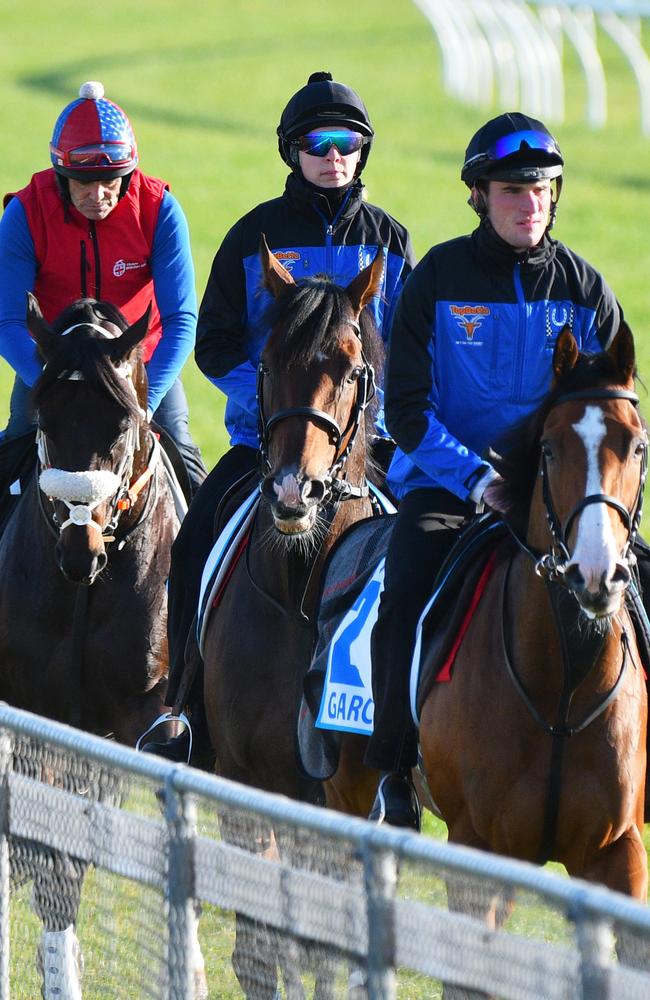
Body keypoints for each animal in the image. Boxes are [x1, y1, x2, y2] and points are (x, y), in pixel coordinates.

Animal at [0, 296, 180, 1000]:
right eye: (47, 422)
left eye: (121, 422)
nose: (81, 550)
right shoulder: (37, 717)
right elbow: (51, 857)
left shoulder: (145, 719)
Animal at [418, 324, 644, 980]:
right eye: (548, 448)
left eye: (637, 446)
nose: (596, 574)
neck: (563, 685)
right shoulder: (476, 846)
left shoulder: (618, 851)